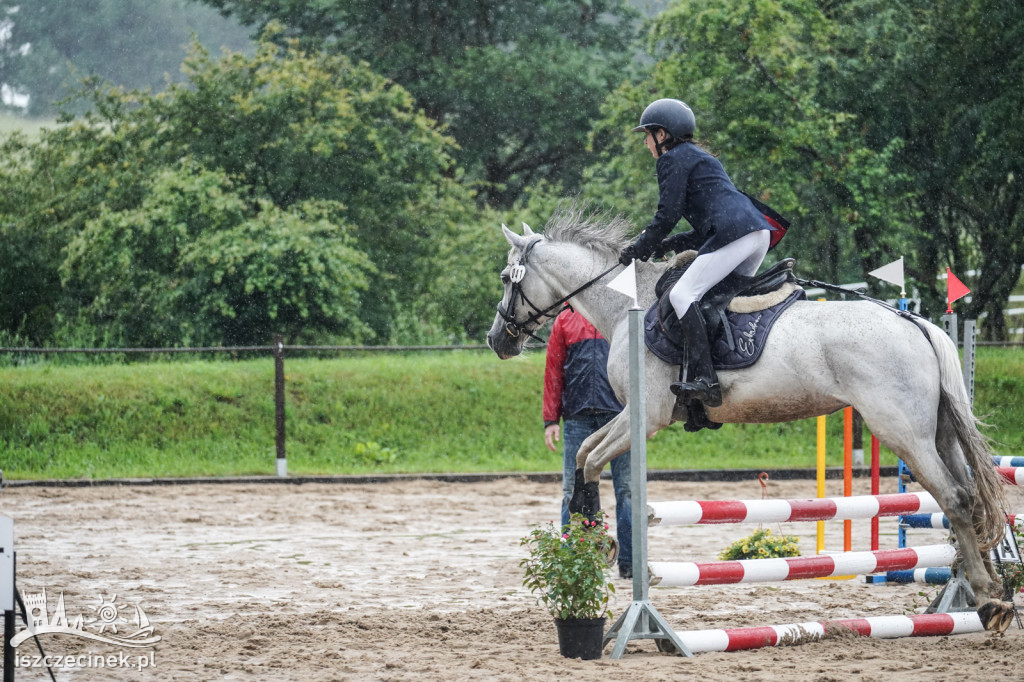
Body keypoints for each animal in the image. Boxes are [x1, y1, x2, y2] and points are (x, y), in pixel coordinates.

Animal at [489, 204, 1015, 630]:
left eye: (506, 279)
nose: (498, 340)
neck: (625, 305)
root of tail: (919, 325)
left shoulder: (646, 415)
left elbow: (589, 456)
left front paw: (593, 539)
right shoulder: (638, 418)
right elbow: (583, 454)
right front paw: (589, 534)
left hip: (903, 432)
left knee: (954, 498)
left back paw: (987, 599)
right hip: (939, 433)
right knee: (969, 496)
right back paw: (988, 594)